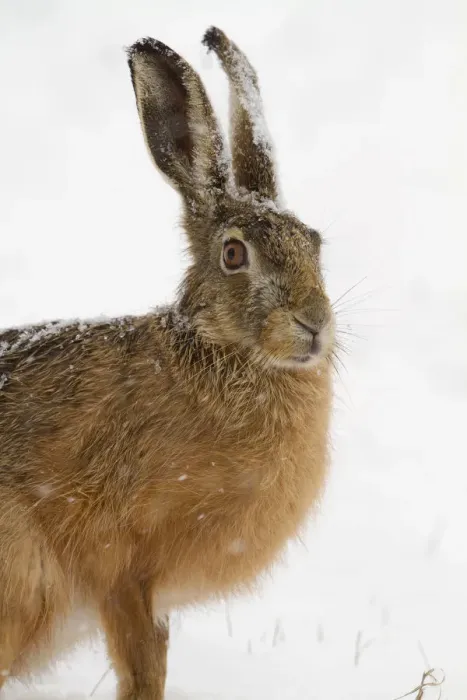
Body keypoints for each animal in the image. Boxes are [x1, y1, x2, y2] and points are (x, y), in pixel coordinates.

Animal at [0, 26, 335, 700]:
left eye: (316, 244)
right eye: (234, 255)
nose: (314, 323)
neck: (227, 356)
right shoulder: (120, 565)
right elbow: (142, 665)